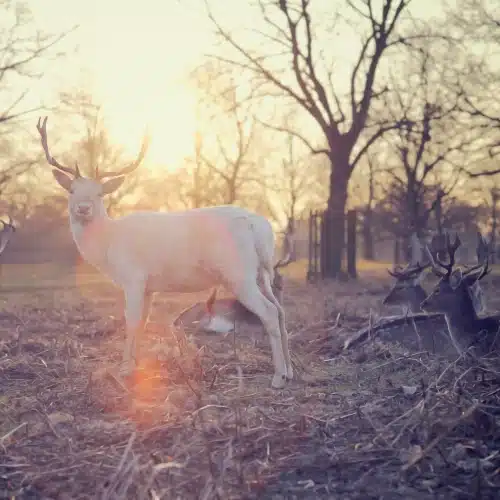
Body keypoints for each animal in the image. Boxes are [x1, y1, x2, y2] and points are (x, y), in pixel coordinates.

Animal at [36, 118, 292, 390]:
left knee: (269, 311)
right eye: (72, 190)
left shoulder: (133, 277)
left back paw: (277, 378)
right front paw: (137, 366)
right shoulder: (149, 286)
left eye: (99, 193)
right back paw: (290, 372)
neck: (108, 245)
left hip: (237, 274)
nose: (83, 209)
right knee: (281, 310)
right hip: (262, 271)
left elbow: (131, 320)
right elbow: (143, 322)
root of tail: (259, 227)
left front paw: (124, 369)